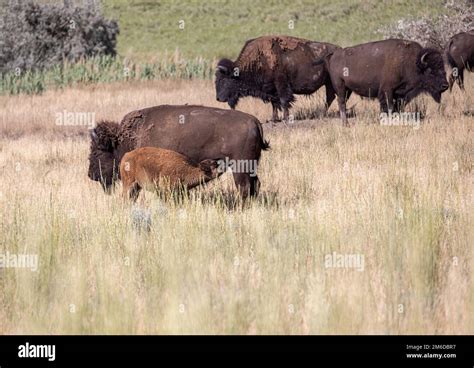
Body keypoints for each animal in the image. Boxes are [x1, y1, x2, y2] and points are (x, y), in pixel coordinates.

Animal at [87, 105, 268, 200]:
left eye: (97, 152)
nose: (91, 174)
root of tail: (255, 122)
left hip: (240, 167)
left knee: (244, 187)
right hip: (251, 167)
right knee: (255, 185)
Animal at [320, 38, 450, 125]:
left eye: (443, 68)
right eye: (430, 70)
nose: (445, 85)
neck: (412, 62)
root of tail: (333, 55)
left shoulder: (400, 94)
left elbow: (397, 108)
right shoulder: (387, 91)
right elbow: (389, 107)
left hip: (348, 90)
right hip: (340, 86)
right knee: (341, 102)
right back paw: (345, 124)